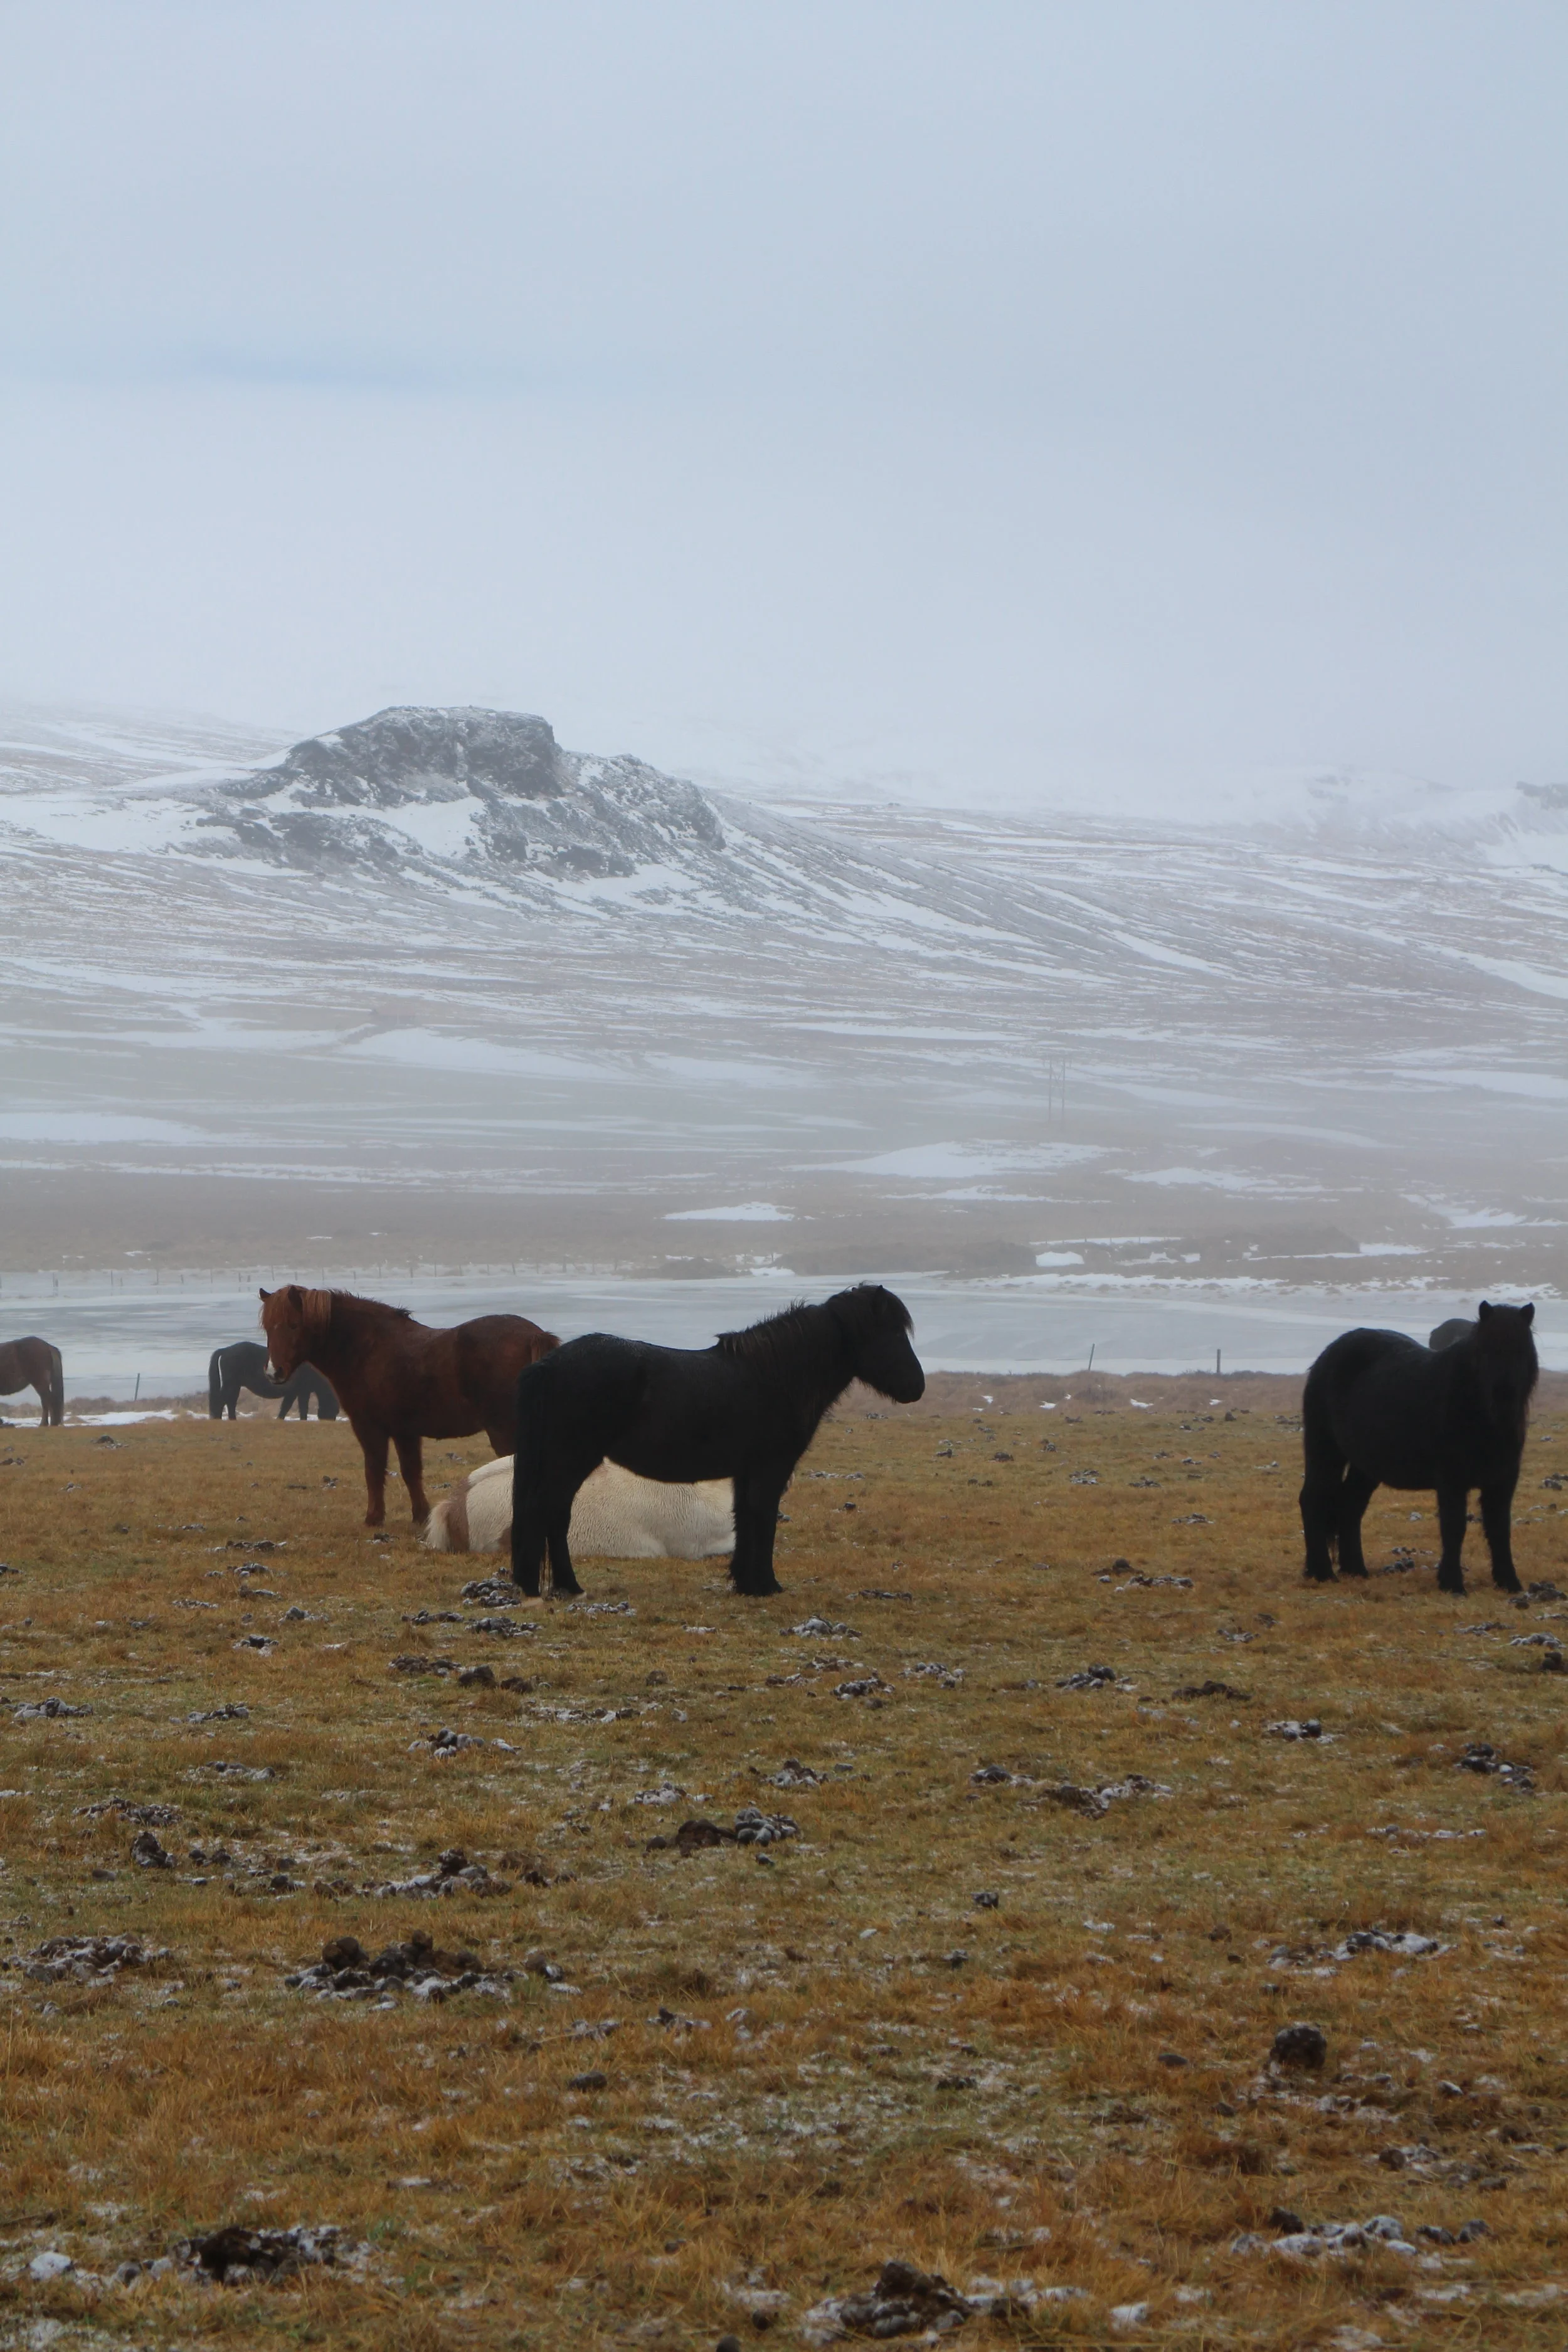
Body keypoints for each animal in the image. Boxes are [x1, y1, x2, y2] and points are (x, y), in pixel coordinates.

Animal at [208, 1340, 340, 1422]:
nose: (330, 1420)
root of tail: (225, 1350)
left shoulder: (293, 1392)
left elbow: (286, 1407)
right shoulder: (303, 1391)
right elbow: (302, 1407)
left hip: (235, 1385)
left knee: (230, 1401)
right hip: (232, 1384)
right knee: (224, 1400)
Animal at [259, 1286, 558, 1528]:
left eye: (294, 1325)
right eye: (268, 1327)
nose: (274, 1372)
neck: (367, 1349)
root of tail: (534, 1335)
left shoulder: (370, 1428)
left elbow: (374, 1469)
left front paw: (374, 1518)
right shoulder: (406, 1432)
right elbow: (411, 1472)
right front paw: (420, 1516)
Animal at [509, 1283, 925, 1598]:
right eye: (890, 1333)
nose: (917, 1387)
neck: (775, 1377)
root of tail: (548, 1365)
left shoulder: (746, 1472)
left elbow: (745, 1519)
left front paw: (746, 1583)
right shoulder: (770, 1470)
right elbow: (763, 1519)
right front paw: (767, 1586)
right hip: (571, 1459)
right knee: (548, 1512)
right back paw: (556, 1586)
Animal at [1300, 1302, 1538, 1595]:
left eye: (1521, 1350)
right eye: (1486, 1350)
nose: (1504, 1401)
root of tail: (1327, 1356)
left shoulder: (1502, 1481)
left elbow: (1499, 1530)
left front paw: (1509, 1582)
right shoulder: (1451, 1481)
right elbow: (1454, 1528)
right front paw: (1452, 1584)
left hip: (1365, 1466)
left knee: (1351, 1504)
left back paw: (1355, 1569)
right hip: (1325, 1450)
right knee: (1313, 1499)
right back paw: (1321, 1573)